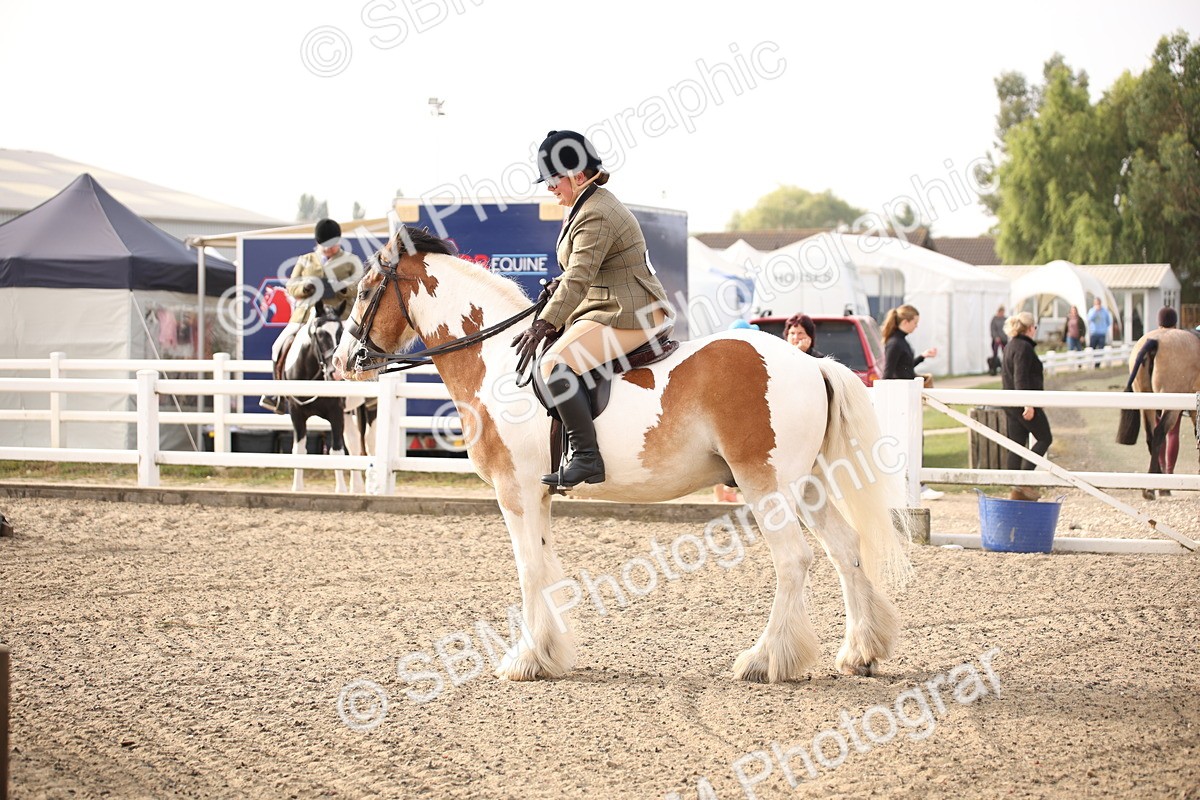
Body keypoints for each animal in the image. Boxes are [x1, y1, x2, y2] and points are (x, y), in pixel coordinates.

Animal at [281, 306, 351, 493]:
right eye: (320, 334)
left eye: (341, 332)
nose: (336, 373)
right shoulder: (296, 413)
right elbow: (299, 450)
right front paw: (297, 488)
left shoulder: (336, 413)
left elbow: (337, 450)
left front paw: (341, 491)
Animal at [332, 227, 912, 684]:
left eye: (363, 290)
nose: (340, 361)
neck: (497, 363)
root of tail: (810, 363)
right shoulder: (539, 492)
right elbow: (546, 565)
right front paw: (550, 655)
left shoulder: (514, 489)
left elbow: (528, 568)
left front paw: (525, 660)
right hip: (808, 485)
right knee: (844, 549)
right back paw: (860, 652)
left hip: (765, 484)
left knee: (794, 559)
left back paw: (766, 660)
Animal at [1116, 327, 1200, 500]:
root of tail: (1154, 341)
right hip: (1170, 406)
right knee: (1159, 433)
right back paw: (1154, 488)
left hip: (1147, 402)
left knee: (1151, 437)